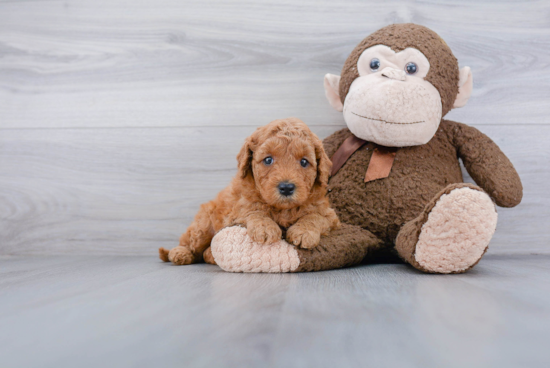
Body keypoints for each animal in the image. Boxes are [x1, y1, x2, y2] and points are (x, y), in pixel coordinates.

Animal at [158, 118, 340, 264]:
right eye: (268, 159)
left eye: (304, 162)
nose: (286, 187)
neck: (282, 209)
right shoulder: (237, 209)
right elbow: (254, 211)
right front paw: (265, 227)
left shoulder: (330, 217)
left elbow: (315, 216)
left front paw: (304, 232)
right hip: (202, 226)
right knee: (190, 243)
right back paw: (179, 253)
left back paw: (209, 255)